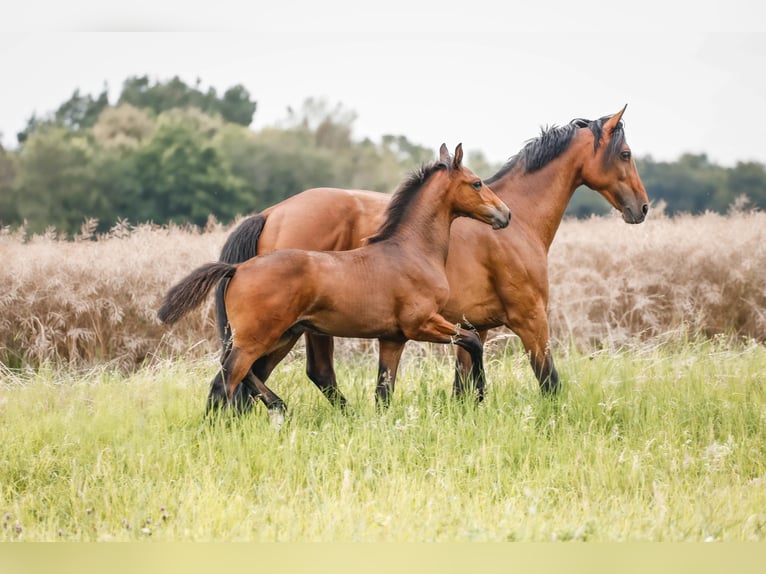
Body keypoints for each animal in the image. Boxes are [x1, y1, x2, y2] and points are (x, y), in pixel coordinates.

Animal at [157, 146, 512, 418]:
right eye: (477, 183)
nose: (505, 215)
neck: (410, 250)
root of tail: (237, 268)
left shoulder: (393, 338)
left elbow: (384, 392)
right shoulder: (423, 323)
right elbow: (473, 341)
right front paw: (481, 393)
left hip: (281, 335)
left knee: (240, 376)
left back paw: (273, 409)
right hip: (257, 338)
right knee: (230, 377)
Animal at [219, 106, 652, 416]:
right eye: (626, 153)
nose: (643, 208)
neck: (521, 222)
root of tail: (272, 213)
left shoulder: (474, 325)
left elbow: (464, 384)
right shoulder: (530, 318)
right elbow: (549, 380)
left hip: (289, 328)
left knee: (249, 375)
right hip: (295, 328)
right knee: (290, 372)